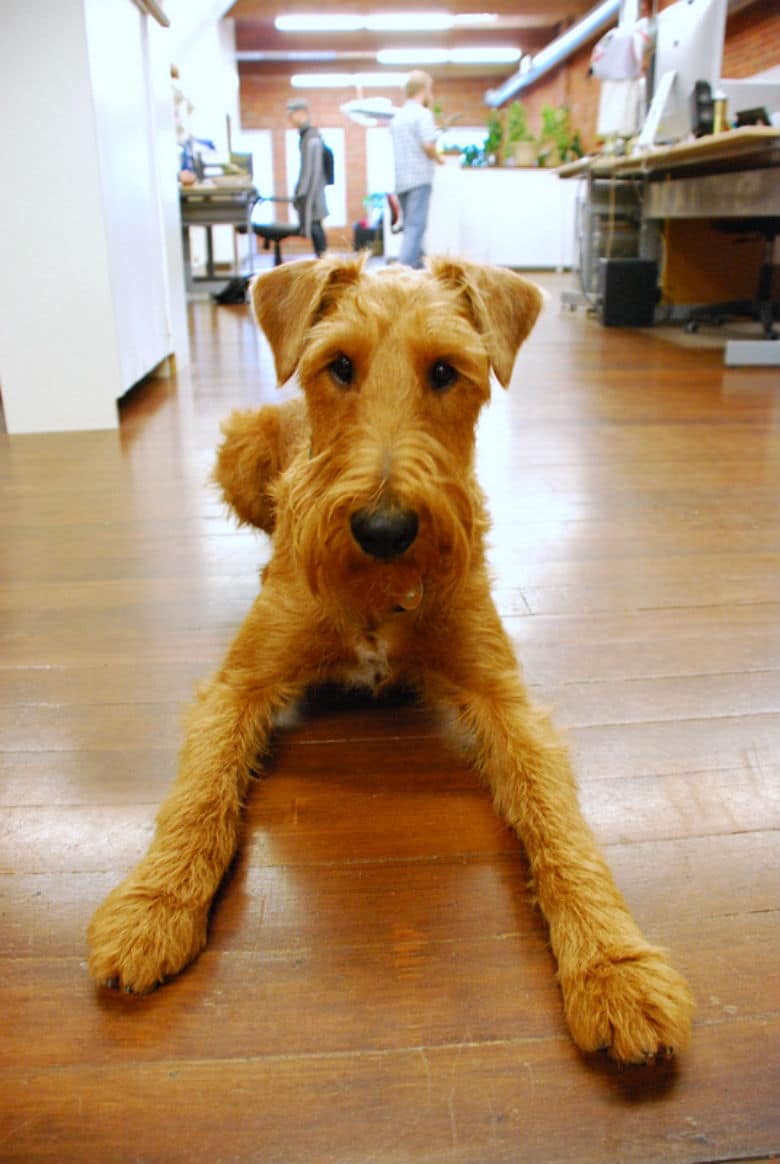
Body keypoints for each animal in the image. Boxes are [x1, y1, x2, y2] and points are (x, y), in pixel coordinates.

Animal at [88, 254, 693, 1066]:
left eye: (445, 371)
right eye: (340, 365)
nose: (384, 529)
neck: (379, 591)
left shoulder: (504, 696)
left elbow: (560, 824)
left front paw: (615, 964)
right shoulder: (239, 685)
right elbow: (199, 795)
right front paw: (151, 905)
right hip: (240, 451)